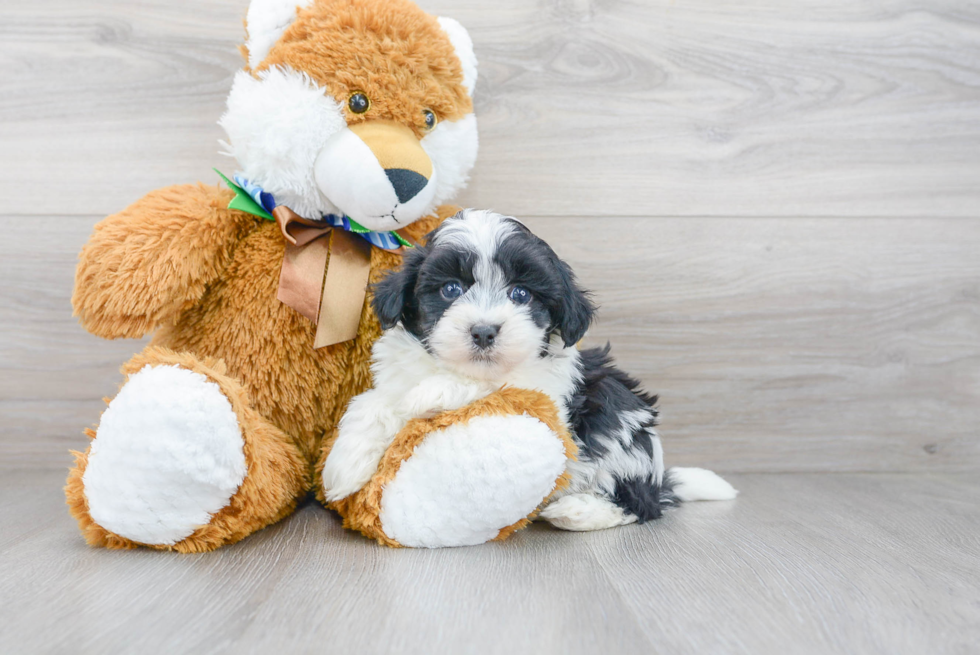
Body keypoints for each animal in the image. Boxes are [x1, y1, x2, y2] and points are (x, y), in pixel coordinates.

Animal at [322, 210, 736, 532]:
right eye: (451, 289)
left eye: (521, 294)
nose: (484, 331)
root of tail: (662, 479)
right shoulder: (395, 375)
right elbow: (373, 403)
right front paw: (344, 465)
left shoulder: (547, 391)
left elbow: (492, 385)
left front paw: (432, 392)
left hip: (624, 431)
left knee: (640, 503)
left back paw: (579, 510)